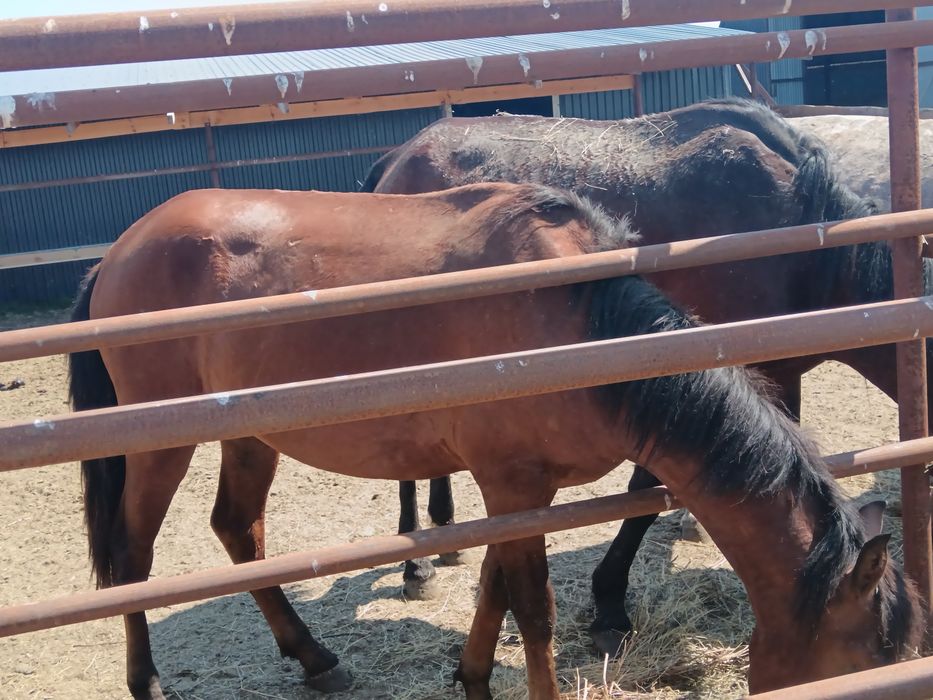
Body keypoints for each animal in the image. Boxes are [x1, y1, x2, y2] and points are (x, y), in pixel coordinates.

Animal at [69, 182, 921, 699]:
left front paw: (472, 675)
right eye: (866, 661)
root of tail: (124, 247)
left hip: (252, 433)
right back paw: (147, 681)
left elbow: (492, 588)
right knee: (133, 556)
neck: (581, 325)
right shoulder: (514, 483)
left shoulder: (514, 490)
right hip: (159, 443)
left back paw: (314, 659)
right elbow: (531, 608)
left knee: (238, 531)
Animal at [363, 97, 931, 653]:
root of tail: (397, 156)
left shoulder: (777, 375)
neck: (798, 237)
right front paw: (610, 604)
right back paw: (415, 566)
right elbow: (647, 490)